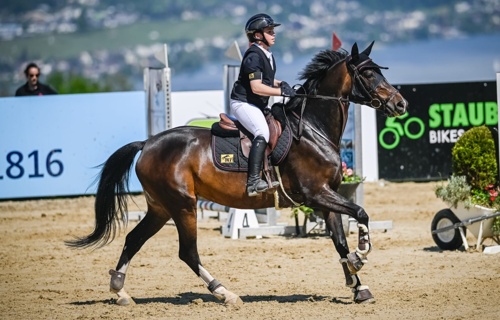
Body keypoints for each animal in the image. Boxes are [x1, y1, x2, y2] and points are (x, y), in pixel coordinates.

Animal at [66, 41, 408, 306]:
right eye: (368, 73)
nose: (400, 104)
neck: (313, 129)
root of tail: (147, 143)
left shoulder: (327, 196)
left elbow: (339, 240)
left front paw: (359, 286)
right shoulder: (316, 193)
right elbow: (361, 214)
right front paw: (362, 254)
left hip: (161, 207)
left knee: (134, 240)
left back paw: (120, 291)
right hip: (183, 205)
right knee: (187, 252)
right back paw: (224, 293)